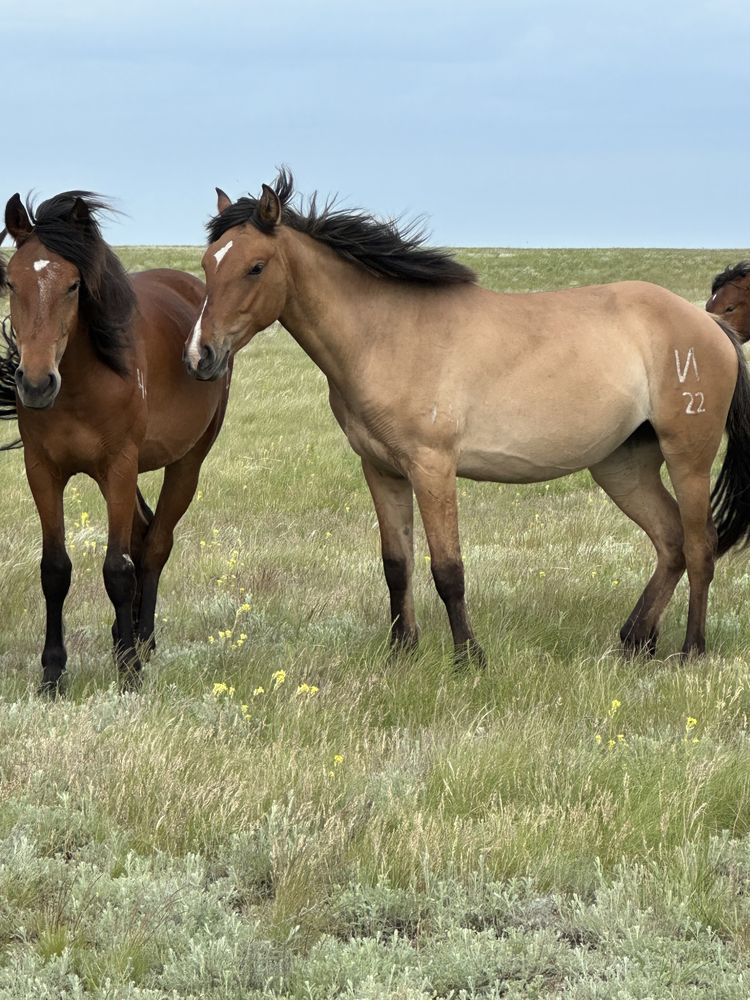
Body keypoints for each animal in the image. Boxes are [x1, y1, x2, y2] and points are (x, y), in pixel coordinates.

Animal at [2, 195, 232, 696]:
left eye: (73, 286)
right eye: (10, 281)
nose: (35, 383)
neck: (82, 384)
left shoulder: (120, 468)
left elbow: (118, 569)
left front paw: (129, 670)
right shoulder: (42, 471)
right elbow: (55, 570)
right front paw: (52, 674)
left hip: (186, 463)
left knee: (156, 544)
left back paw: (142, 640)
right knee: (144, 534)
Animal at [184, 172, 750, 664]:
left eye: (255, 267)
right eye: (209, 264)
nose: (199, 356)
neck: (387, 334)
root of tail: (710, 325)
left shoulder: (432, 468)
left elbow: (447, 568)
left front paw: (468, 659)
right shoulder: (382, 470)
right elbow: (397, 565)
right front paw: (401, 653)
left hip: (687, 458)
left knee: (699, 546)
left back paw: (690, 650)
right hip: (621, 465)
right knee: (670, 542)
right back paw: (635, 640)